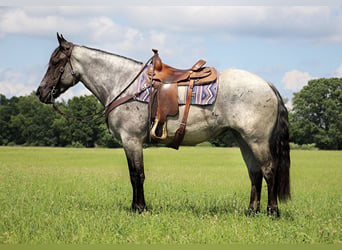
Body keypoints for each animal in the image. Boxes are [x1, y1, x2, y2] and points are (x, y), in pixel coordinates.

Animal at [36, 33, 290, 217]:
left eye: (55, 62)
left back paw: (272, 213)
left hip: (257, 141)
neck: (125, 85)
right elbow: (136, 175)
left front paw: (139, 209)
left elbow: (136, 175)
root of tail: (267, 84)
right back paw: (251, 212)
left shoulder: (131, 141)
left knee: (269, 170)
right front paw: (137, 207)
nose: (40, 92)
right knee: (254, 173)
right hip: (243, 140)